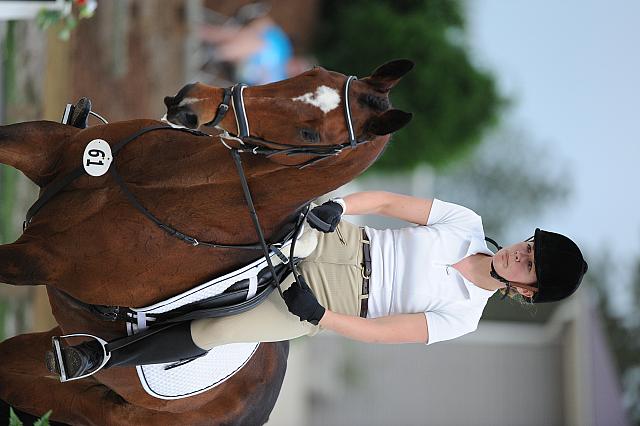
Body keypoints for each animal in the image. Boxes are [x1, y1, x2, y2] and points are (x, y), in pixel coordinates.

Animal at [0, 59, 416, 422]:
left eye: (310, 134)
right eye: (311, 72)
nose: (189, 102)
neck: (169, 185)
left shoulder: (38, 260)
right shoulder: (44, 148)